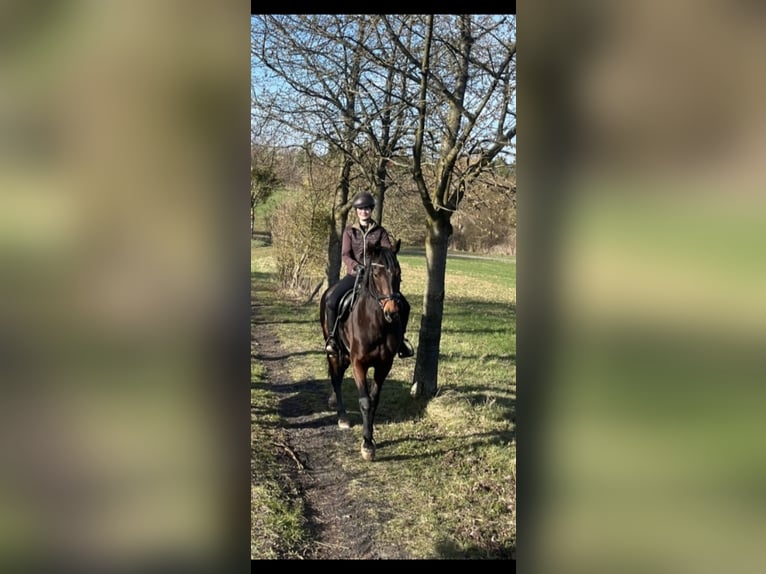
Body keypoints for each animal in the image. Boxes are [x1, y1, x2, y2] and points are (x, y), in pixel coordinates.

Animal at [319, 240, 405, 461]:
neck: (376, 323)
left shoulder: (384, 365)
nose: (392, 312)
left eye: (398, 272)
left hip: (345, 355)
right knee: (336, 379)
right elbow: (365, 401)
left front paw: (371, 438)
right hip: (335, 352)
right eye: (375, 273)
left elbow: (374, 401)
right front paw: (367, 444)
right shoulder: (359, 363)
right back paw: (342, 417)